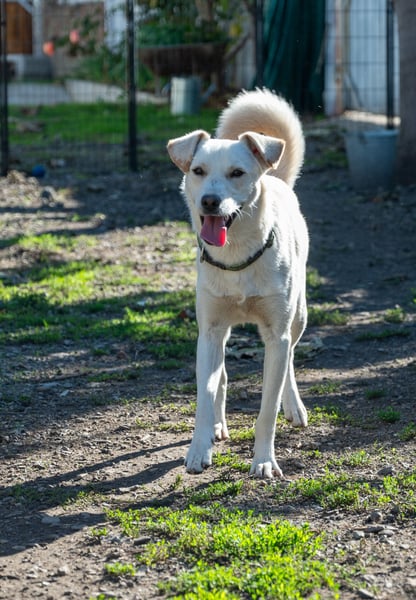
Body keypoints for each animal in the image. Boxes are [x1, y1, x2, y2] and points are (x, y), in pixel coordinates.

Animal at [167, 89, 308, 479]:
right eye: (198, 171)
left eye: (237, 173)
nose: (209, 201)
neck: (236, 257)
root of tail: (277, 179)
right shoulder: (210, 330)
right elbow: (205, 393)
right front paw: (198, 449)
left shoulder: (276, 332)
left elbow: (267, 409)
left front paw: (264, 461)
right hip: (217, 333)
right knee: (221, 378)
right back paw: (218, 424)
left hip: (299, 316)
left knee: (290, 359)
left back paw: (295, 406)